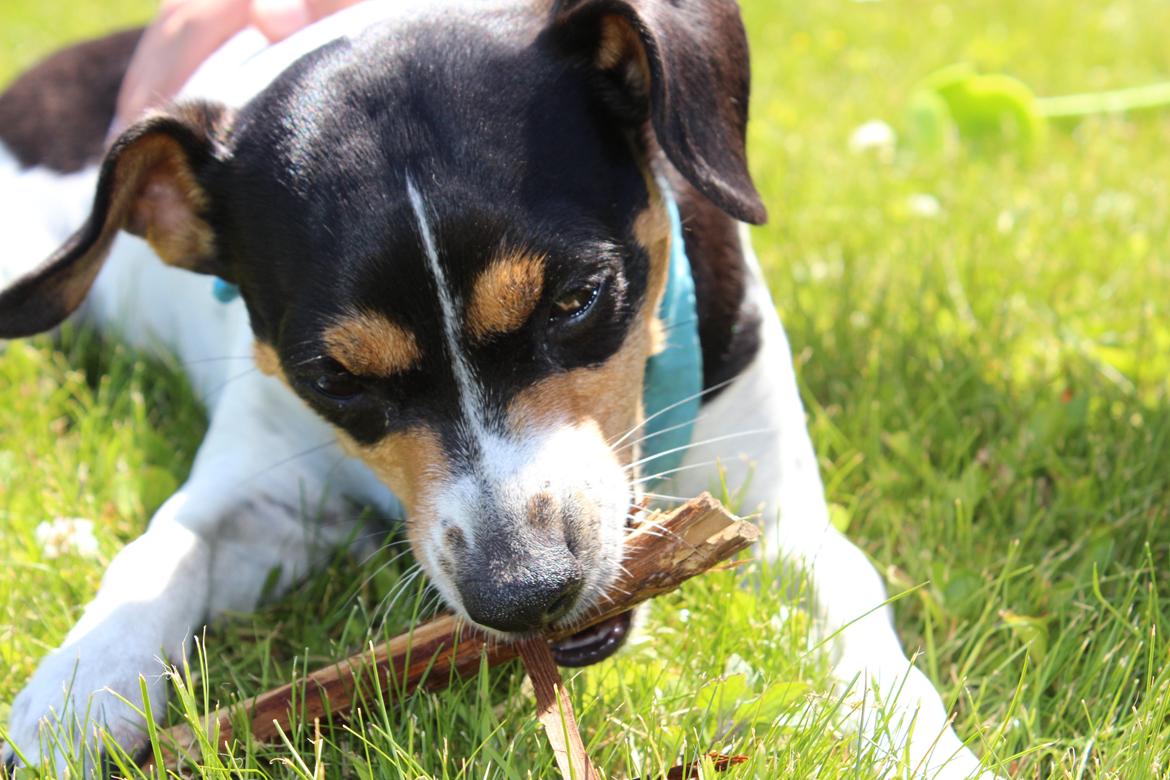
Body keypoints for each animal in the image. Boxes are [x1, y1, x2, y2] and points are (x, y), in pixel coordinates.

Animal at [0, 0, 992, 776]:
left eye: (577, 298)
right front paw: (77, 687)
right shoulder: (261, 500)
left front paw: (930, 753)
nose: (523, 592)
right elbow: (164, 550)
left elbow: (863, 636)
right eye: (334, 376)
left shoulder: (778, 523)